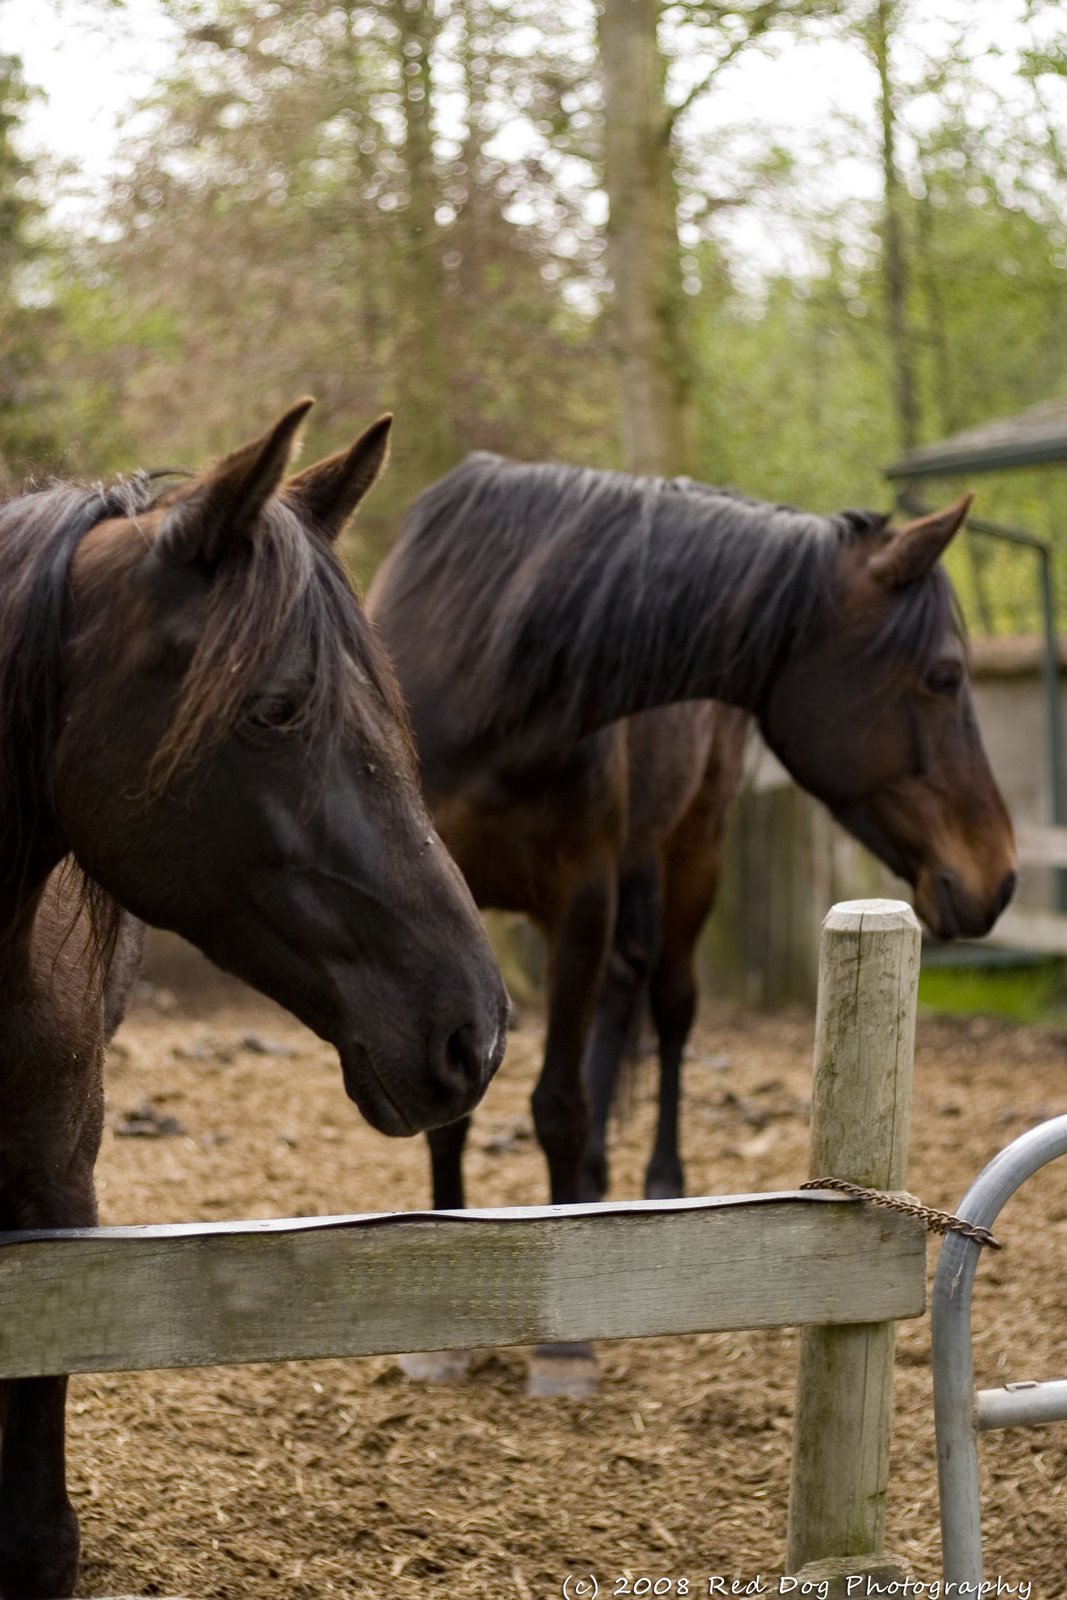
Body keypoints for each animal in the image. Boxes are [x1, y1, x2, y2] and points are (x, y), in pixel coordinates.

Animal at [369, 455, 1016, 1393]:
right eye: (942, 676)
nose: (997, 877)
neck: (488, 677)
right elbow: (461, 1105)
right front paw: (442, 1331)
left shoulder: (581, 898)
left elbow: (558, 1103)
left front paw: (564, 1347)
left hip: (690, 855)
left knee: (668, 1008)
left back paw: (647, 1183)